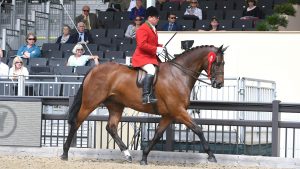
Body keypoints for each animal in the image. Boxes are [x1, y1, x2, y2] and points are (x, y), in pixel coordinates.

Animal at [60, 44, 225, 164]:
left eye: (223, 63)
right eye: (217, 63)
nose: (219, 84)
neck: (179, 75)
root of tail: (94, 69)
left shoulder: (169, 115)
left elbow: (157, 135)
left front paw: (144, 158)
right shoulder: (178, 111)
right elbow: (198, 129)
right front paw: (211, 155)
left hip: (116, 105)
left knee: (111, 127)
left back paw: (127, 154)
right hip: (90, 103)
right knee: (77, 122)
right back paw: (65, 153)